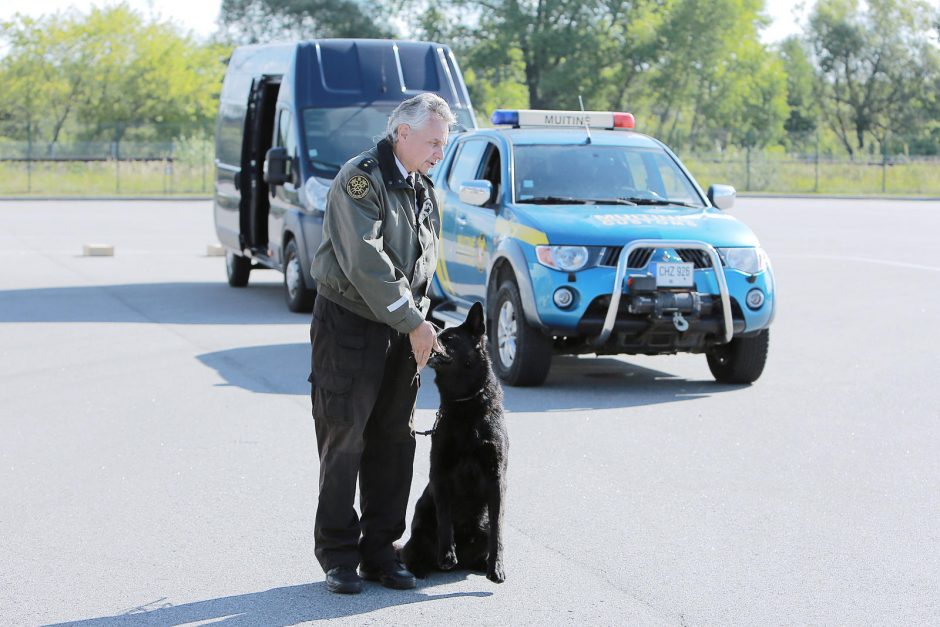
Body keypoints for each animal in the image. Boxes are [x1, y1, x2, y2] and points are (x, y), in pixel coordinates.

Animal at [402, 302, 510, 584]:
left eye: (449, 338)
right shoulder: (439, 473)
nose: (428, 336)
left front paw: (497, 567)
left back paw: (481, 564)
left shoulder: (496, 478)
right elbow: (445, 516)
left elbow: (498, 529)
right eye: (439, 334)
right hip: (420, 518)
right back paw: (420, 568)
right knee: (410, 552)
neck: (466, 403)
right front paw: (447, 555)